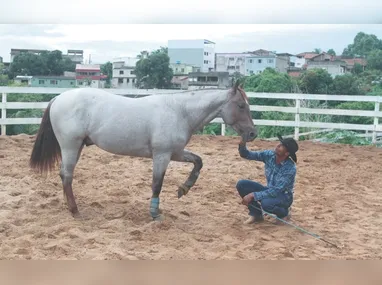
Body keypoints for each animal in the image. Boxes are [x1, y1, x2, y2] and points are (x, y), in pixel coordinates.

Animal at [29, 81, 256, 221]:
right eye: (241, 105)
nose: (253, 133)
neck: (179, 111)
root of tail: (57, 99)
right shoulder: (162, 155)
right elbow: (157, 184)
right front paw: (155, 214)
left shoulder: (176, 153)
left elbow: (198, 161)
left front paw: (184, 189)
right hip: (70, 145)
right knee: (67, 175)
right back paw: (75, 211)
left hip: (76, 147)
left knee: (64, 175)